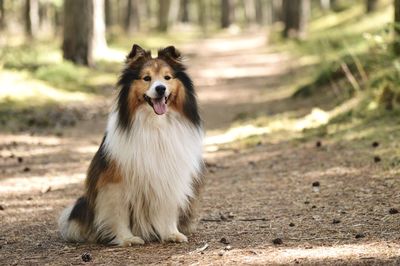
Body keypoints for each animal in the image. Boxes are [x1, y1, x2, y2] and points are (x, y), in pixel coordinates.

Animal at [57, 44, 205, 246]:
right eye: (146, 78)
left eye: (167, 77)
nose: (160, 89)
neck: (155, 125)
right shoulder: (115, 182)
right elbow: (119, 213)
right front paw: (126, 238)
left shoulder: (169, 176)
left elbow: (168, 208)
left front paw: (171, 233)